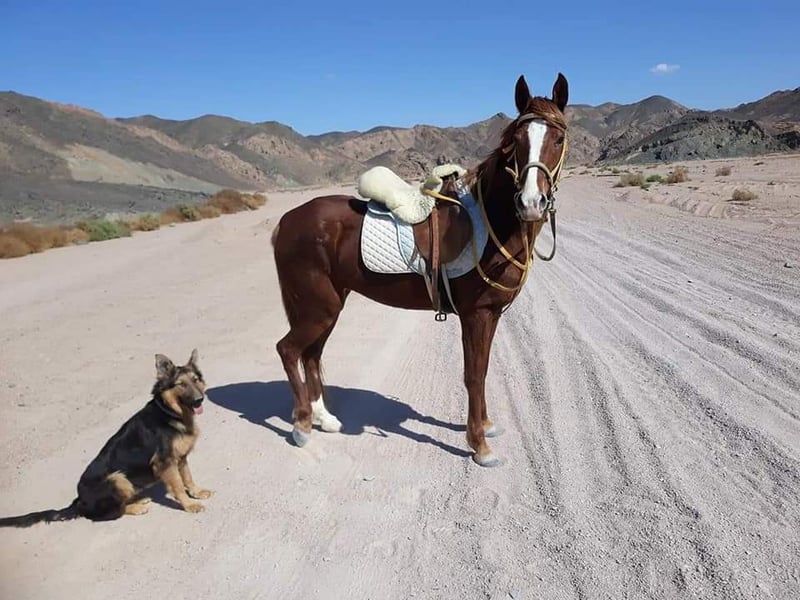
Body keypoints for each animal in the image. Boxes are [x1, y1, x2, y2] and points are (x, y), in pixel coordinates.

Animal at [271, 72, 569, 467]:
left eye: (558, 138)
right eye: (516, 142)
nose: (531, 203)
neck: (487, 224)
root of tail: (287, 221)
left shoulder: (491, 315)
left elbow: (483, 370)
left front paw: (486, 426)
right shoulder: (476, 315)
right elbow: (474, 375)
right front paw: (479, 445)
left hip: (326, 307)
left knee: (311, 354)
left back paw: (326, 419)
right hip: (317, 308)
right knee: (289, 351)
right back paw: (302, 426)